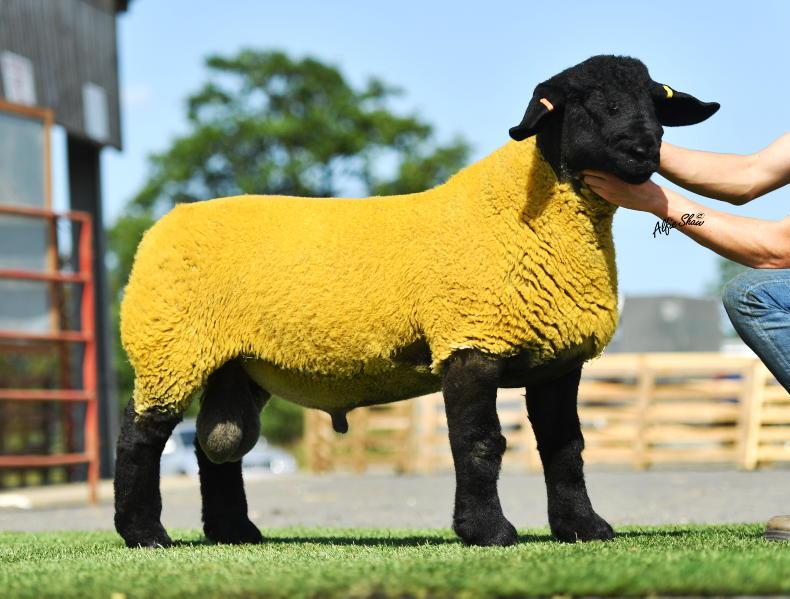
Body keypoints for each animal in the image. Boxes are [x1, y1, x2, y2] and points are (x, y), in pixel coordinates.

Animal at [114, 54, 719, 548]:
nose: (646, 150)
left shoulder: (557, 360)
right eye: (593, 103)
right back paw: (145, 535)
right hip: (168, 346)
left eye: (655, 103)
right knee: (140, 435)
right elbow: (479, 444)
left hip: (235, 365)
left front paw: (584, 528)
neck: (526, 216)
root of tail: (164, 224)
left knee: (216, 447)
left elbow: (565, 447)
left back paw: (234, 532)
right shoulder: (470, 341)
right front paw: (487, 532)